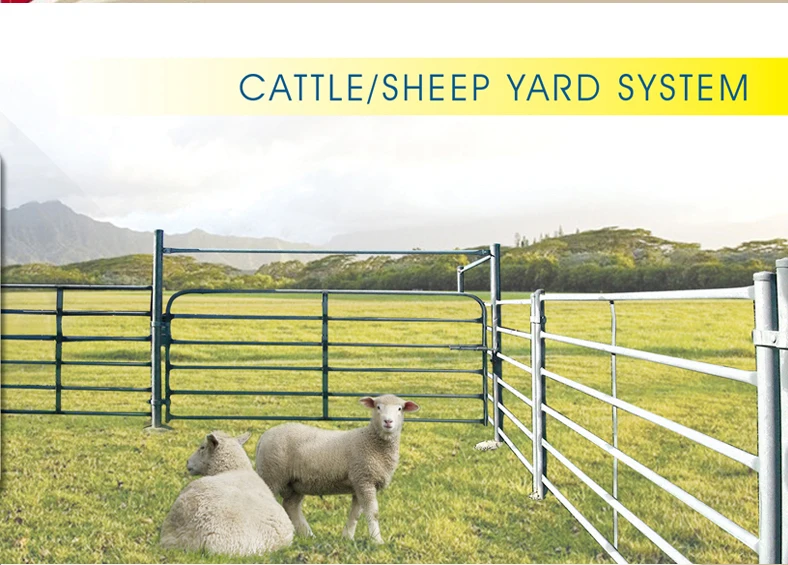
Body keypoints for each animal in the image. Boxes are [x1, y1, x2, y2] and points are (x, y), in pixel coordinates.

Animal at [255, 394, 420, 544]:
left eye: (400, 409)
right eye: (378, 407)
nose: (388, 421)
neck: (371, 442)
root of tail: (263, 437)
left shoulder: (359, 482)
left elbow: (355, 513)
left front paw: (347, 537)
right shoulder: (365, 479)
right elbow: (373, 513)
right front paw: (377, 540)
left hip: (294, 483)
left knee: (291, 506)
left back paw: (309, 536)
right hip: (271, 474)